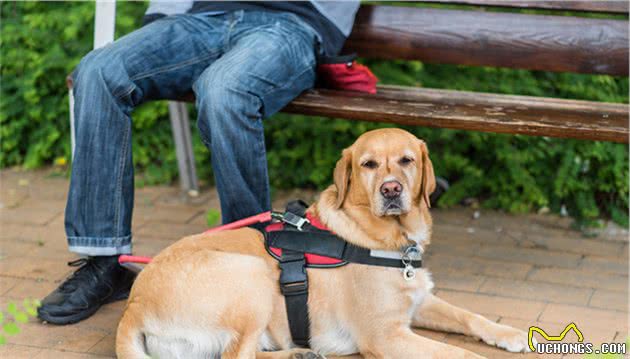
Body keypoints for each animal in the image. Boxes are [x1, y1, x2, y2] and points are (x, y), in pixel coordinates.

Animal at [117, 128, 532, 358]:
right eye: (368, 164)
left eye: (406, 160)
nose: (391, 190)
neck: (385, 237)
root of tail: (132, 308)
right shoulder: (386, 336)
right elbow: (458, 353)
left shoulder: (419, 302)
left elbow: (470, 316)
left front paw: (511, 334)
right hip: (250, 275)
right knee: (235, 357)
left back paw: (302, 354)